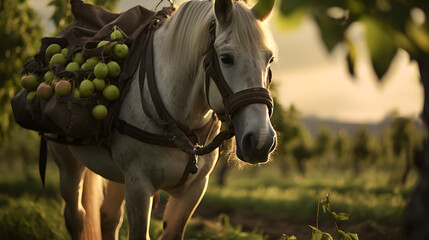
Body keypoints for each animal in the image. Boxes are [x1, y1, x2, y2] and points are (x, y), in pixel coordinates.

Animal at [46, 0, 274, 239]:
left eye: (270, 59)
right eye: (226, 58)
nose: (261, 141)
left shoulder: (194, 189)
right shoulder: (139, 185)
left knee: (108, 217)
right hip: (66, 160)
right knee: (76, 217)